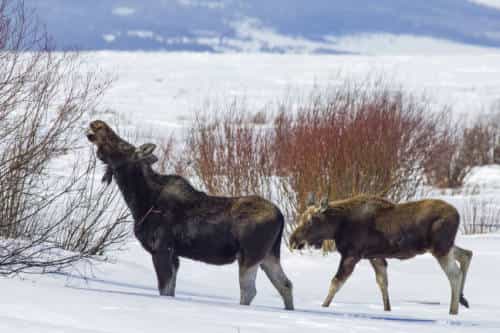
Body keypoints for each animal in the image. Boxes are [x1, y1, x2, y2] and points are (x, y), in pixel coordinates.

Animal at [86, 119, 292, 308]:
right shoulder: (175, 255)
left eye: (122, 145)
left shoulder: (162, 248)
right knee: (285, 284)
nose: (97, 124)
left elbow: (164, 289)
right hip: (269, 255)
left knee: (249, 290)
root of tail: (281, 216)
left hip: (250, 255)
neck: (139, 202)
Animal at [290, 193, 472, 312]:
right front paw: (387, 309)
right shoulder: (375, 256)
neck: (337, 227)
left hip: (440, 248)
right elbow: (382, 282)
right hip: (444, 246)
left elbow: (336, 282)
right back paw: (463, 300)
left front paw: (324, 306)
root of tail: (457, 215)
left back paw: (453, 311)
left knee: (455, 275)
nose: (293, 240)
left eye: (310, 220)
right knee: (467, 254)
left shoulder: (351, 255)